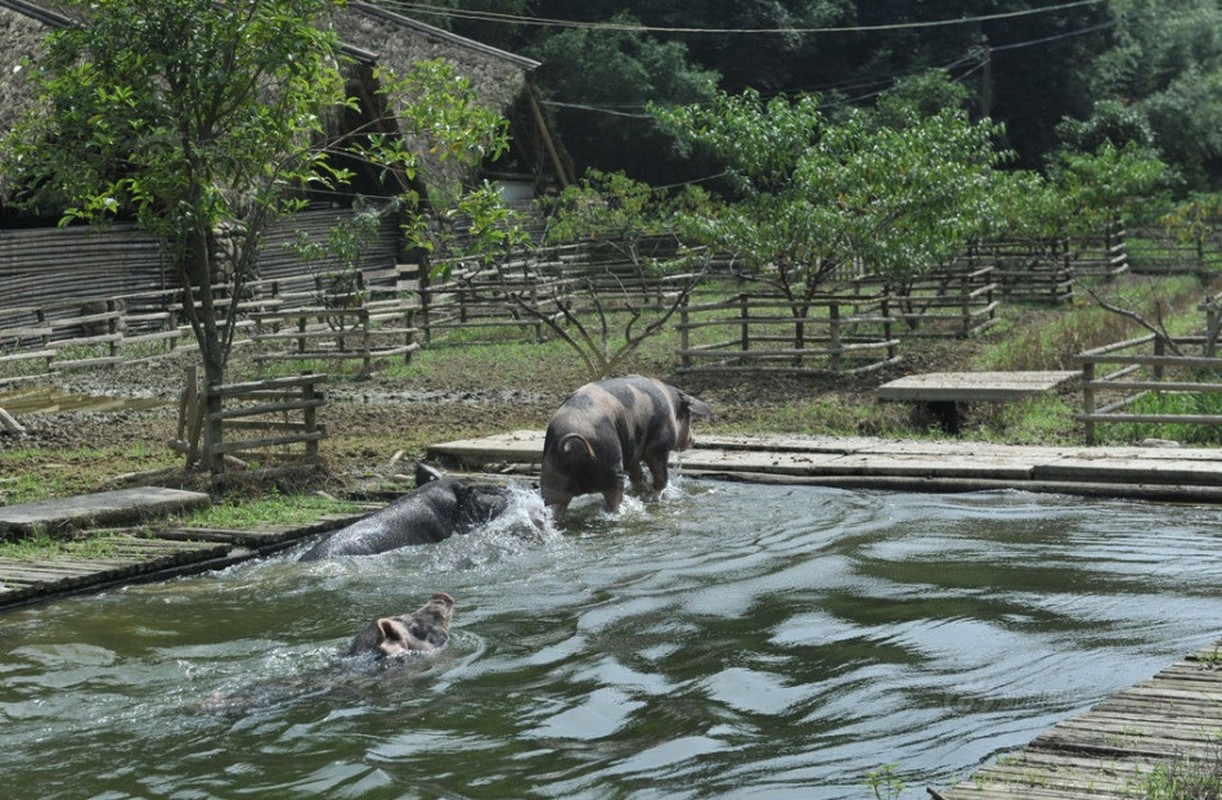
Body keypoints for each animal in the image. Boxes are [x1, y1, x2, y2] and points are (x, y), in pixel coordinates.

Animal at [540, 376, 713, 520]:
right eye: (689, 417)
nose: (693, 440)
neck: (672, 404)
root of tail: (569, 447)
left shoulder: (632, 454)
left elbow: (638, 474)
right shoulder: (658, 447)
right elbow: (659, 475)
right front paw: (651, 498)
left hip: (551, 473)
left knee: (553, 503)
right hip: (612, 468)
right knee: (614, 498)